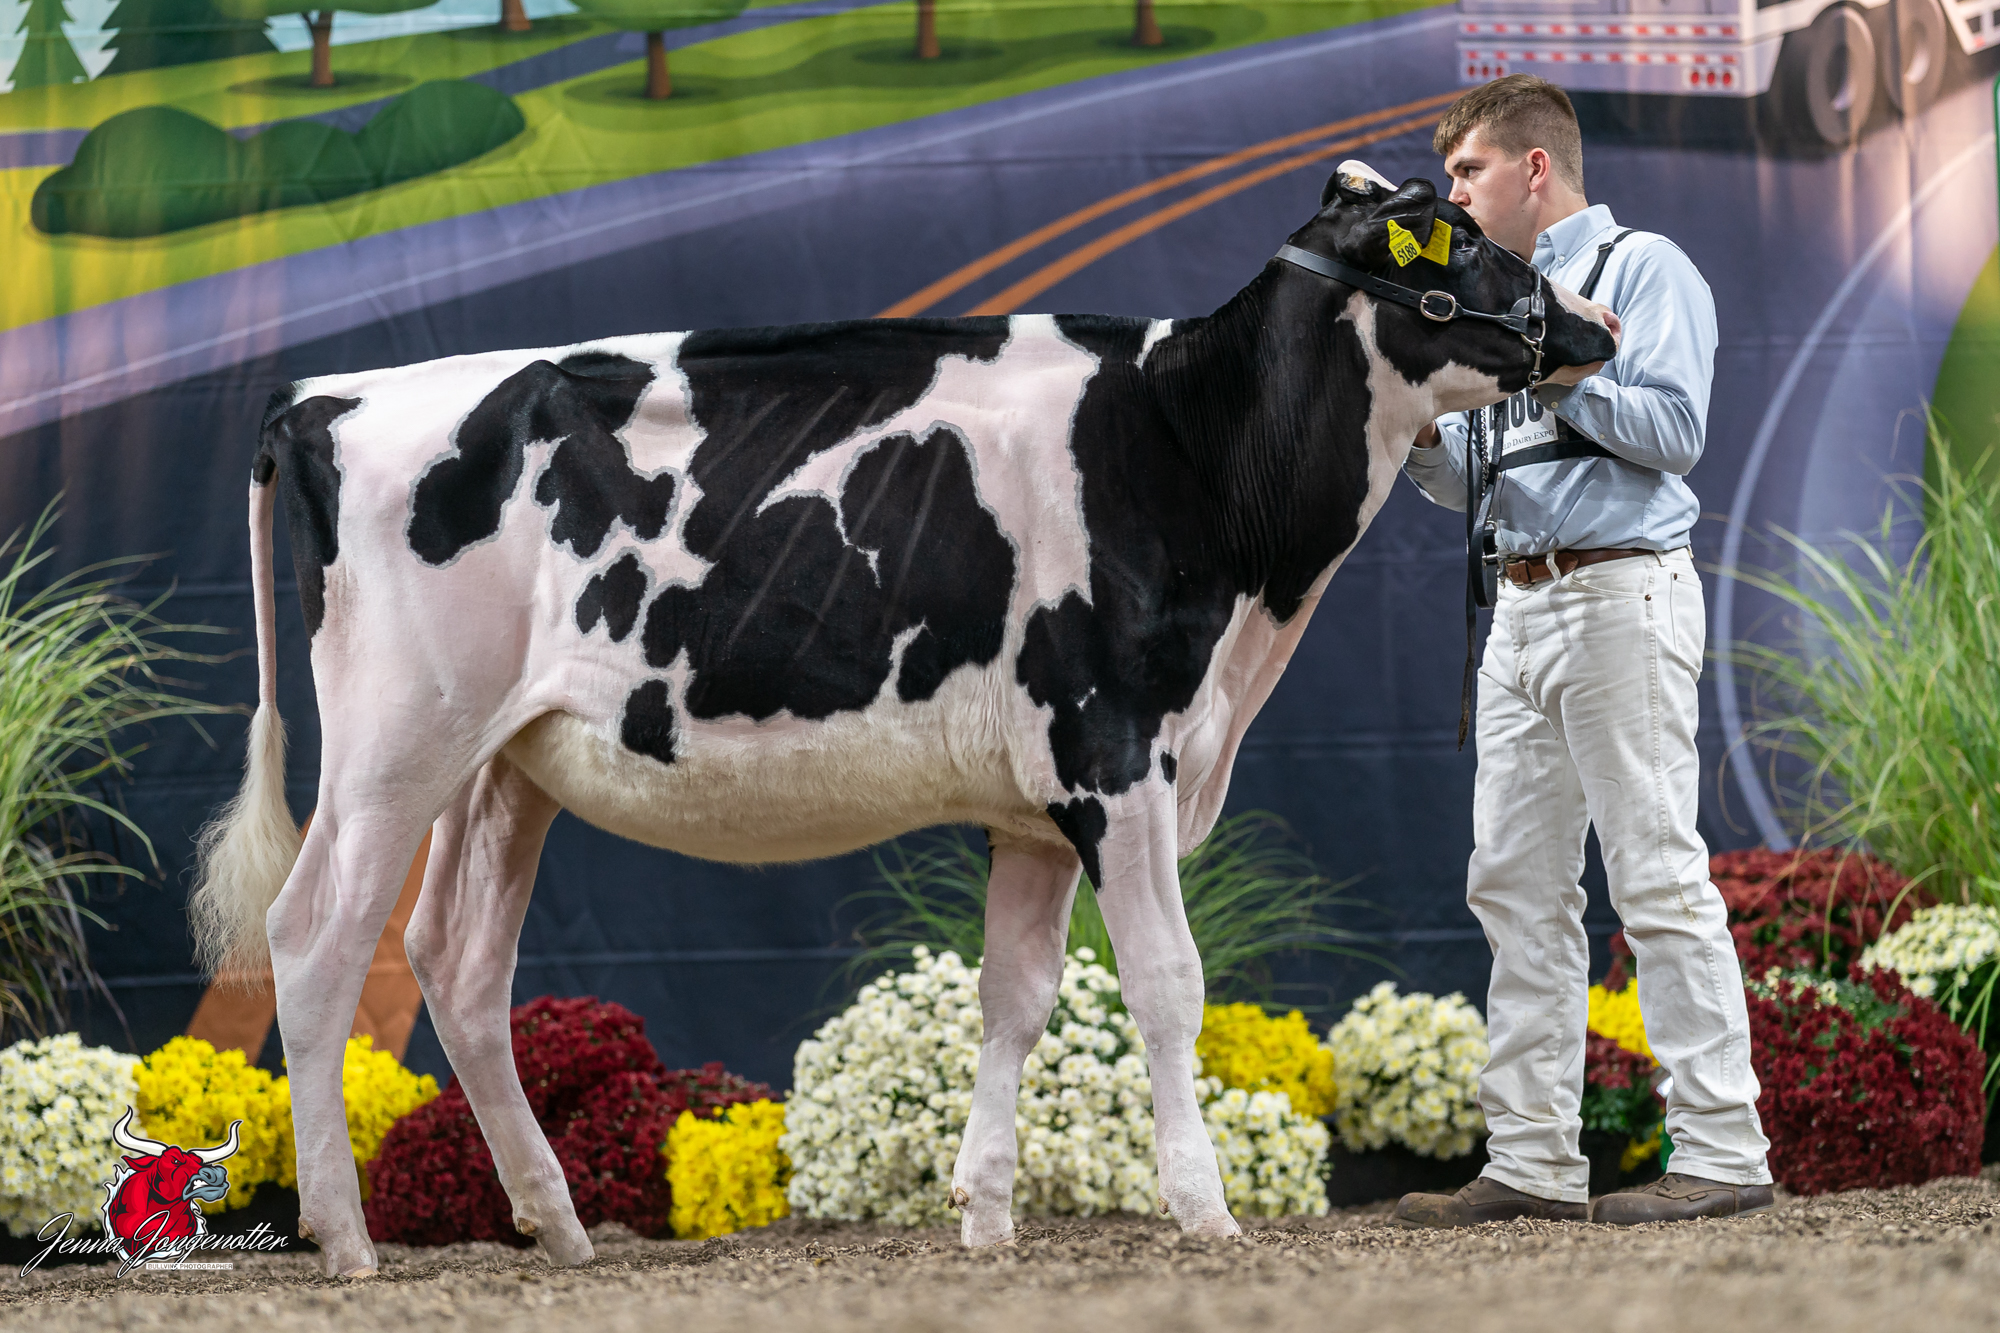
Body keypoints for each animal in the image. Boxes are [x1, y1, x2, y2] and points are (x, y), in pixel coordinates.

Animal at [189, 161, 1617, 1277]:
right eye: (1461, 240)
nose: (1594, 320)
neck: (1194, 458)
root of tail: (322, 397)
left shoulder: (1039, 808)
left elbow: (1017, 994)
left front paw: (982, 1214)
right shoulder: (1116, 753)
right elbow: (1165, 982)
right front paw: (1203, 1208)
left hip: (507, 763)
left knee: (459, 958)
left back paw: (559, 1224)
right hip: (392, 745)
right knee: (315, 939)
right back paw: (347, 1238)